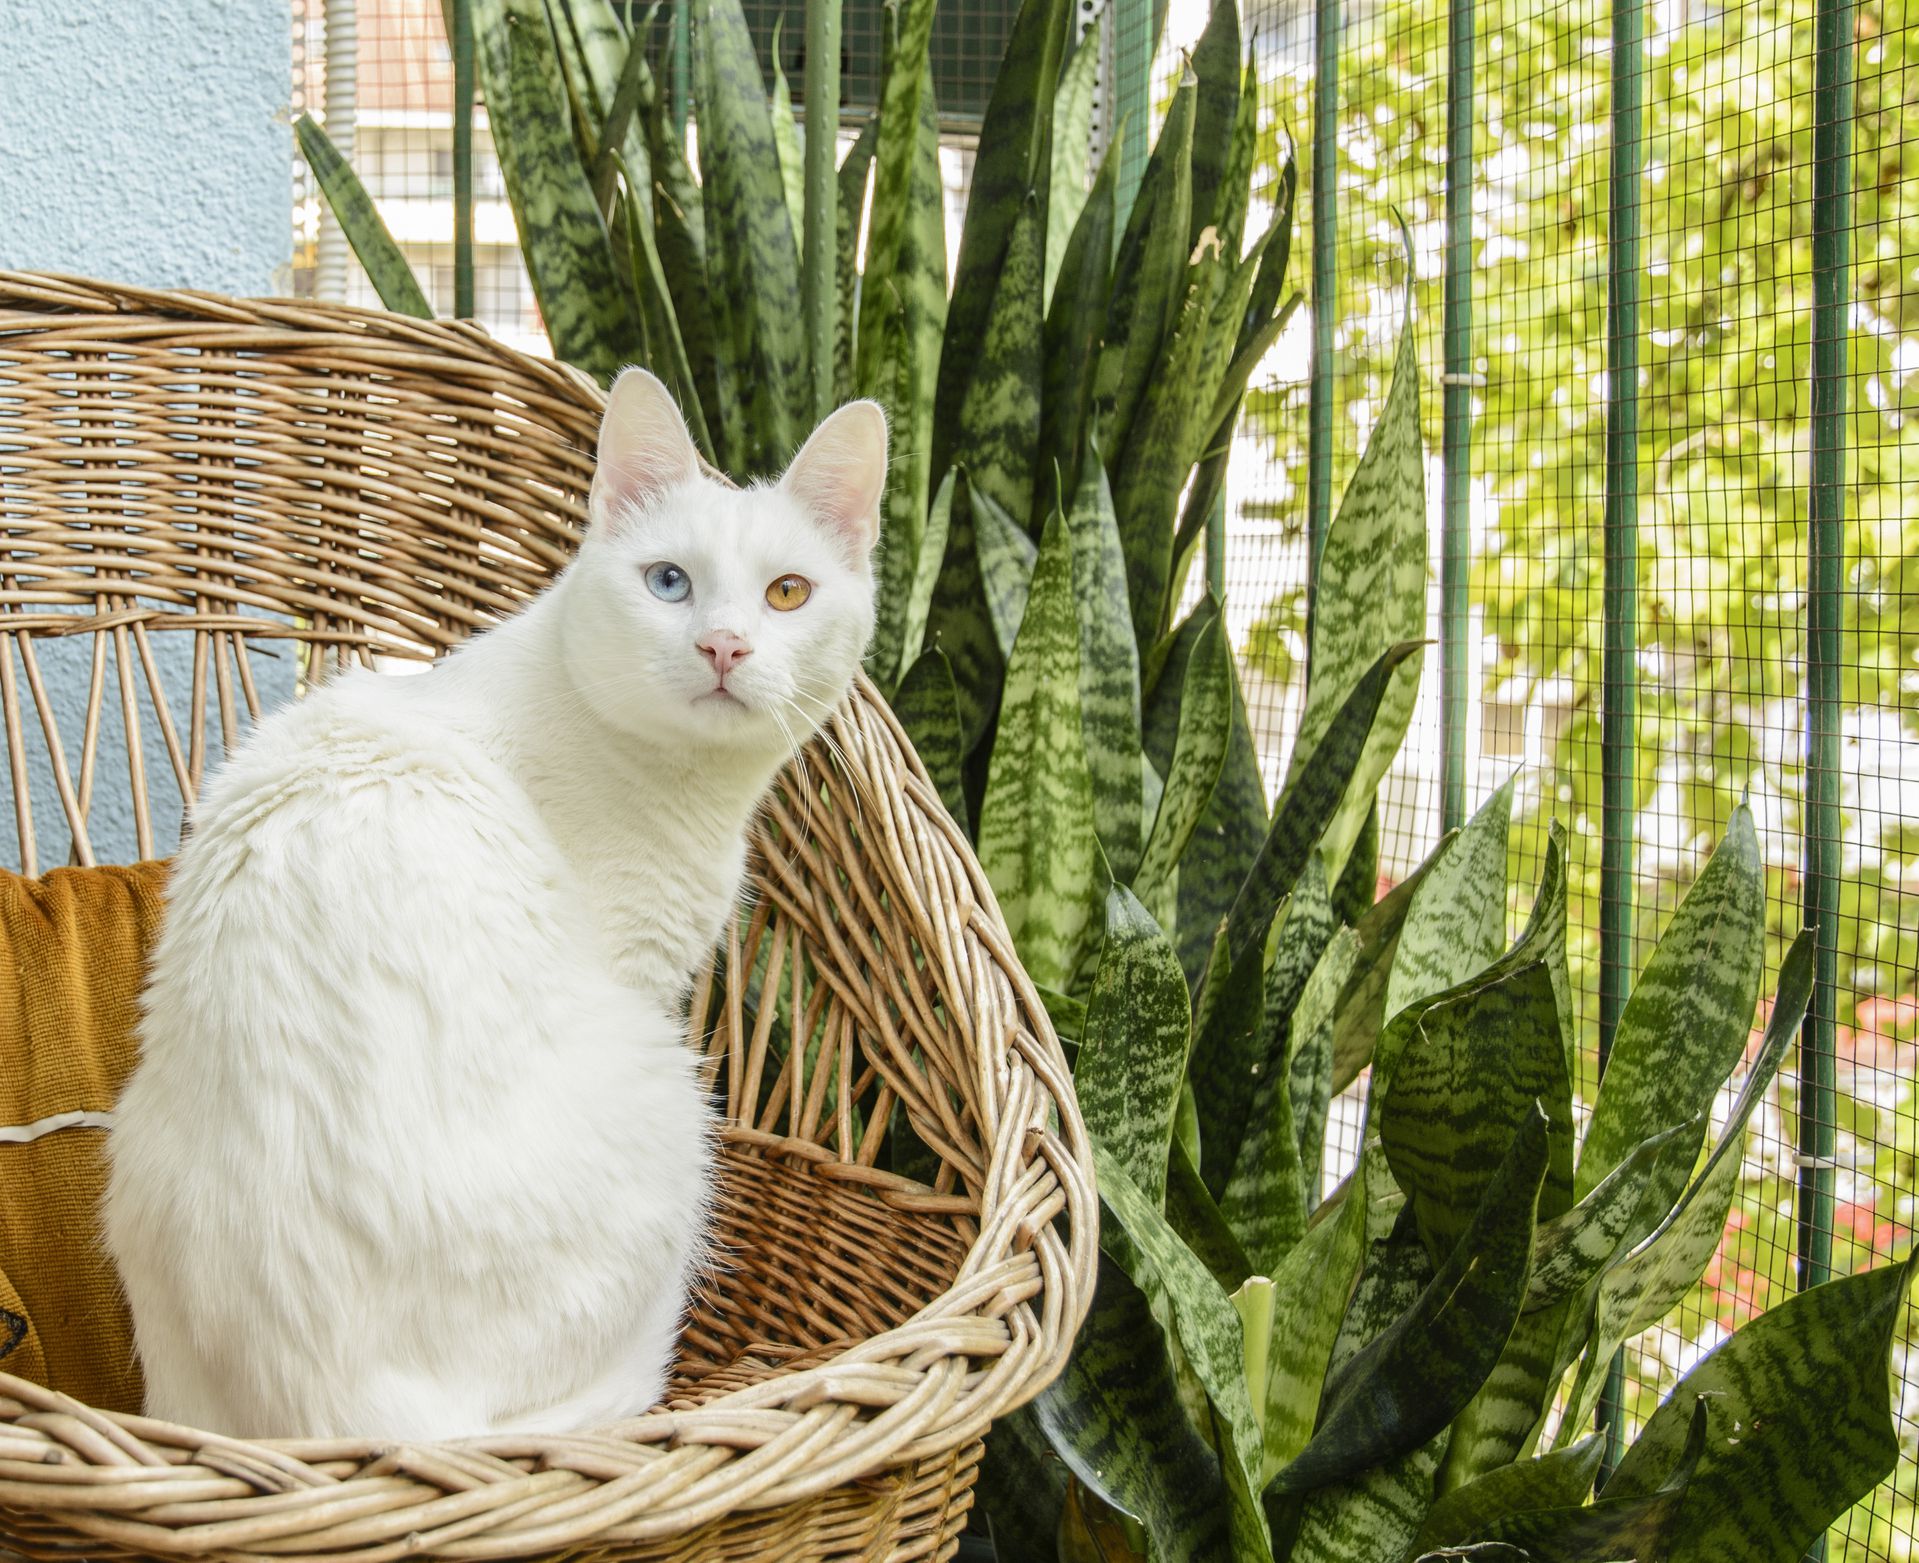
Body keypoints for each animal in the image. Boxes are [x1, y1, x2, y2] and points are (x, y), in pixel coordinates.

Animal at [103, 370, 882, 1443]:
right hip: (674, 1091)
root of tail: (360, 1418)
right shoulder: (643, 970)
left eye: (788, 592)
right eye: (668, 582)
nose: (724, 644)